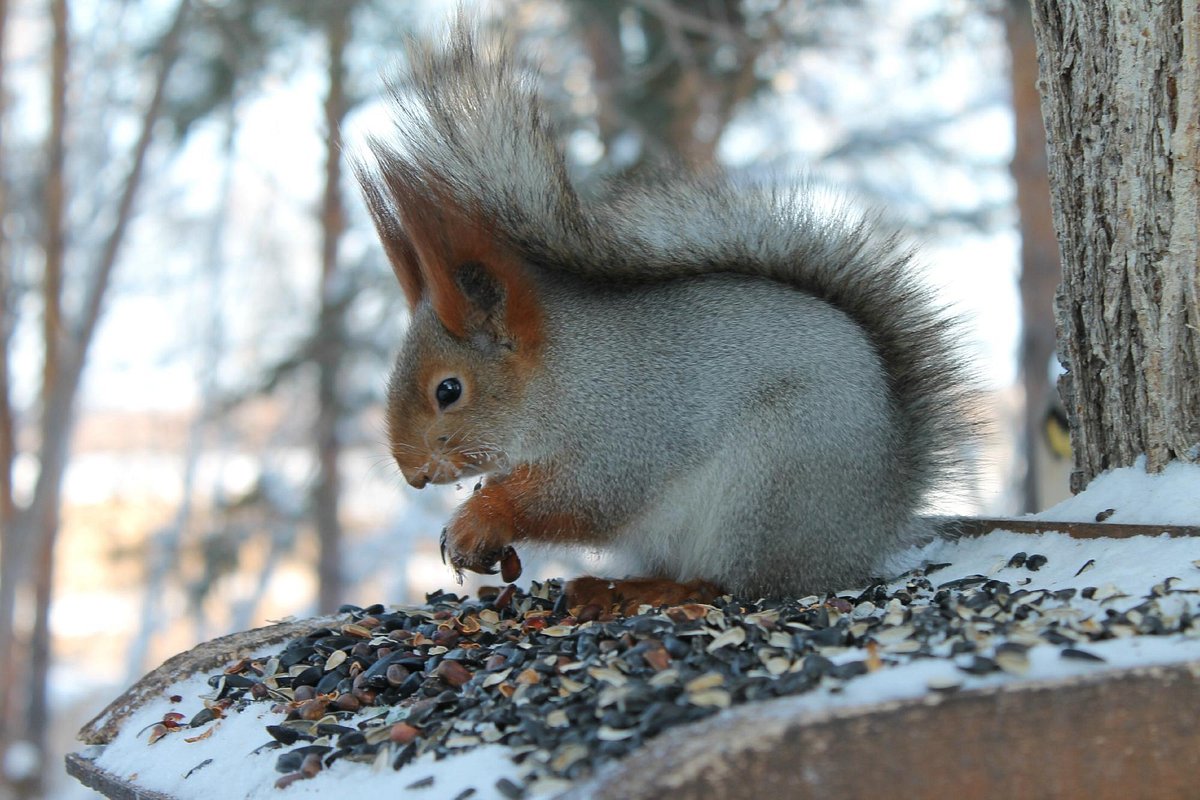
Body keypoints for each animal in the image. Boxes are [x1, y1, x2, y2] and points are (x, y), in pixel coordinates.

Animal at [352, 15, 974, 609]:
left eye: (449, 391)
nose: (413, 476)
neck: (560, 375)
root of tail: (875, 520)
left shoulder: (628, 430)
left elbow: (588, 496)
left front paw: (478, 520)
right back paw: (608, 587)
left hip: (769, 487)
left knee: (733, 583)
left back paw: (666, 592)